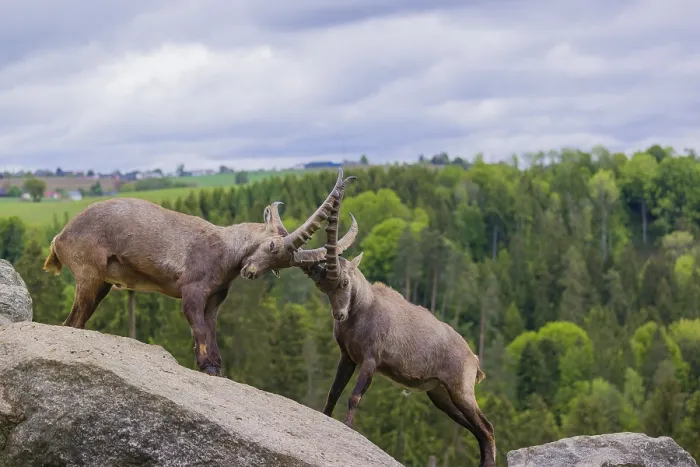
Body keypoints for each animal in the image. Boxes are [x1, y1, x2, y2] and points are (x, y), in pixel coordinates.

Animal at [43, 169, 355, 377]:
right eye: (271, 245)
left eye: (280, 265)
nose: (250, 272)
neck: (227, 249)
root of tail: (59, 238)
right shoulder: (192, 291)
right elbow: (198, 327)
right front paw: (206, 366)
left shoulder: (214, 299)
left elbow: (211, 328)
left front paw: (215, 366)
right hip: (89, 274)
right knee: (72, 321)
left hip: (102, 283)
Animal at [274, 185, 497, 467]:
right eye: (322, 287)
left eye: (345, 282)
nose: (339, 315)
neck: (363, 310)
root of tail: (473, 358)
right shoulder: (348, 357)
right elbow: (334, 391)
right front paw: (326, 418)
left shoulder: (371, 361)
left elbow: (354, 396)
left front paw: (348, 428)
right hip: (441, 395)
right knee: (476, 429)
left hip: (461, 391)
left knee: (487, 428)